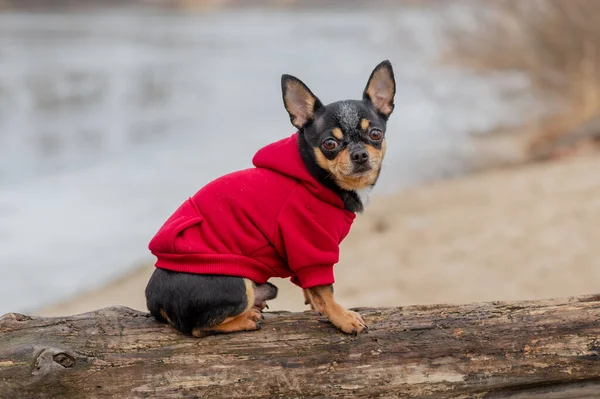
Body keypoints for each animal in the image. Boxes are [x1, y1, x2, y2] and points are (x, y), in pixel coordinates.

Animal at [145, 59, 396, 336]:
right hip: (235, 284)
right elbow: (325, 289)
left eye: (375, 134)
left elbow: (312, 288)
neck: (316, 176)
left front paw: (315, 304)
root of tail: (154, 303)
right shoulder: (309, 245)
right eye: (329, 144)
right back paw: (246, 319)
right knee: (198, 329)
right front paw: (341, 317)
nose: (360, 154)